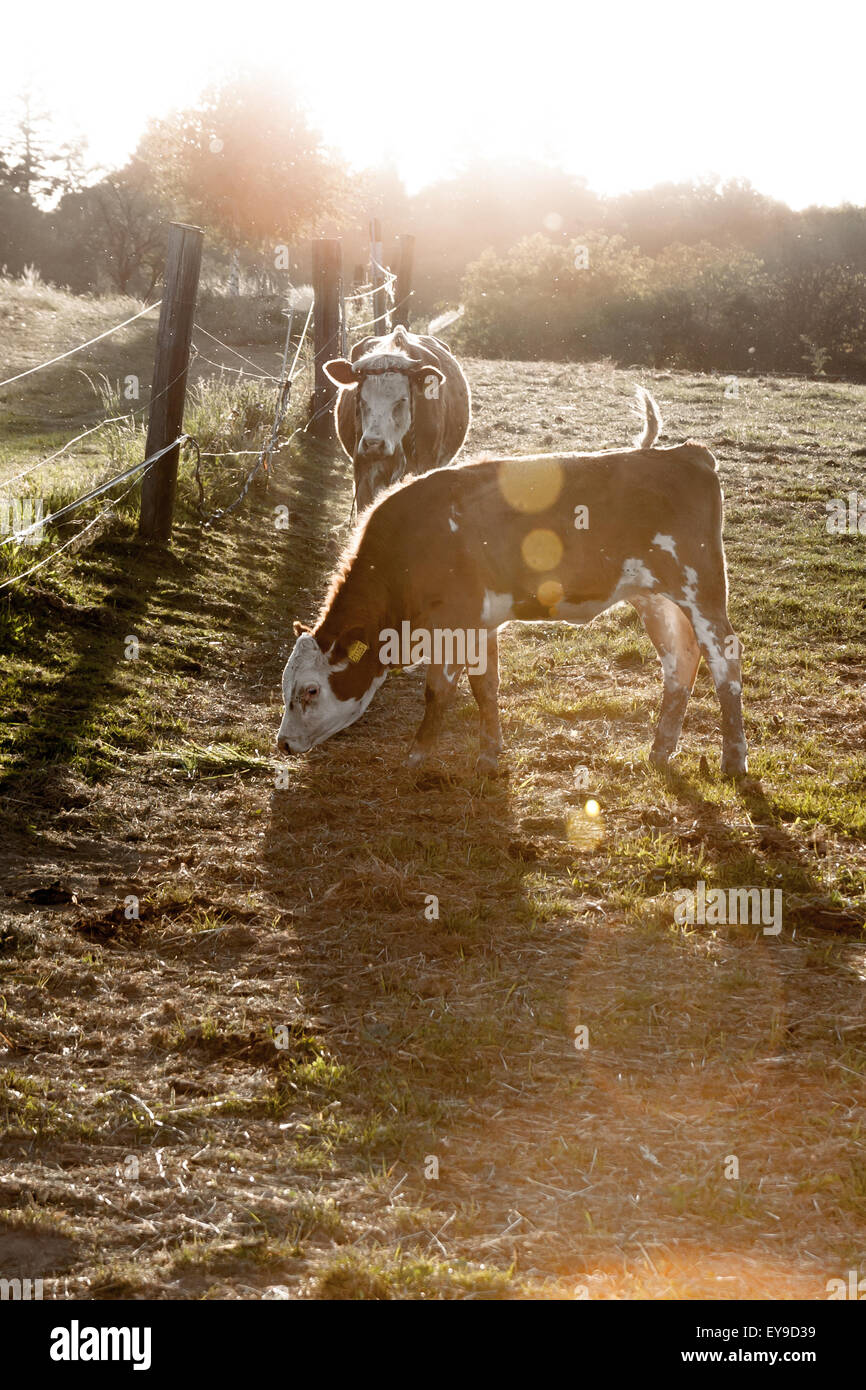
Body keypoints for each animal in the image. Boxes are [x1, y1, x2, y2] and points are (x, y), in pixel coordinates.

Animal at [277, 389, 747, 778]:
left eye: (311, 690)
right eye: (285, 686)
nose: (282, 743)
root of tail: (686, 455)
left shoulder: (455, 622)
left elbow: (438, 691)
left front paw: (417, 756)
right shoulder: (481, 625)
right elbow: (485, 688)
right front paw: (489, 755)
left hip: (702, 590)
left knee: (724, 663)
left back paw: (734, 760)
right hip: (655, 599)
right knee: (679, 663)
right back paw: (661, 751)